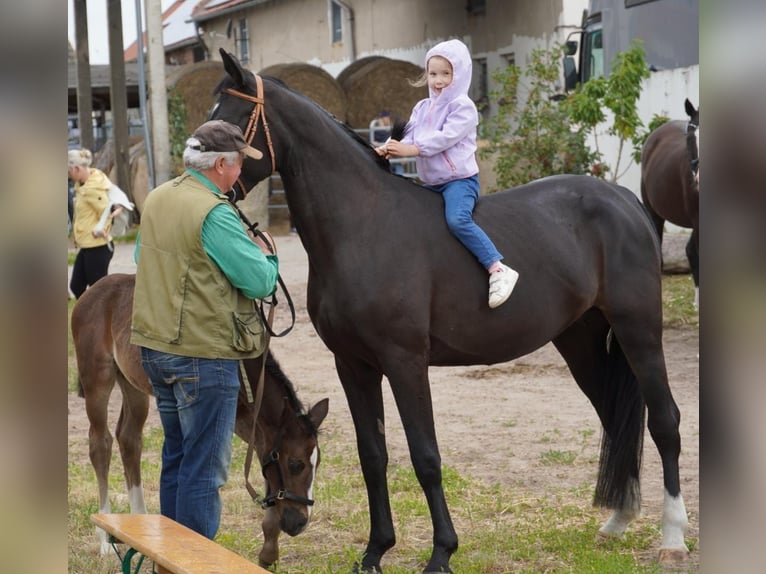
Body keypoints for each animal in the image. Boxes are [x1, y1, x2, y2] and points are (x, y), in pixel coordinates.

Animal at [70, 273, 329, 568]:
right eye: (296, 464)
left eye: (317, 462)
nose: (300, 522)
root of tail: (93, 290)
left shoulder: (253, 428)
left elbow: (270, 485)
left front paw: (268, 554)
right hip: (97, 379)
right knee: (100, 444)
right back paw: (104, 538)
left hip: (132, 385)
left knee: (129, 440)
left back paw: (141, 525)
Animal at [209, 49, 689, 572]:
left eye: (231, 119)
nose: (200, 164)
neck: (363, 225)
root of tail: (626, 201)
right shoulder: (353, 365)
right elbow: (373, 455)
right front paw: (375, 551)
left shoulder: (405, 362)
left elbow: (425, 456)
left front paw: (441, 552)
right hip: (580, 341)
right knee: (617, 419)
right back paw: (618, 520)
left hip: (639, 330)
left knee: (664, 420)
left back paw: (673, 537)